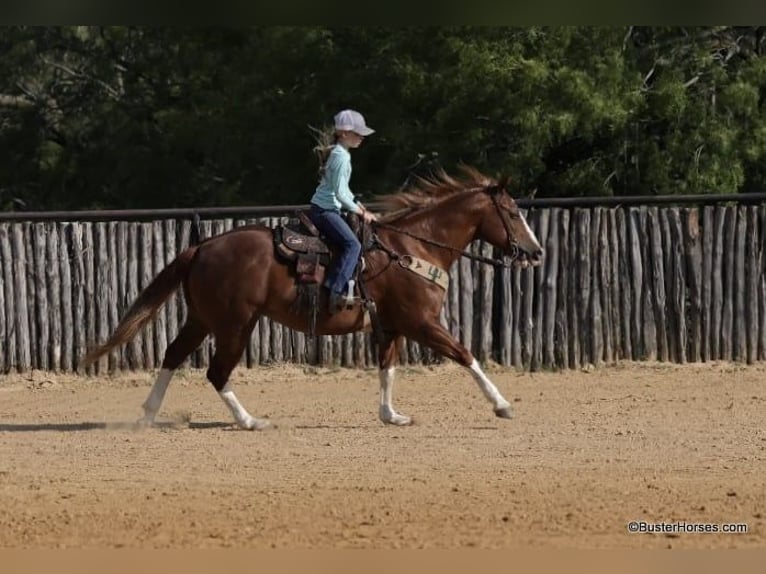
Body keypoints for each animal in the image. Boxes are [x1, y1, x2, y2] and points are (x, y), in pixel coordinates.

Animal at [81, 166, 544, 430]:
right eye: (513, 213)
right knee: (216, 371)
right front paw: (502, 405)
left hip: (202, 319)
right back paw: (250, 421)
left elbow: (387, 369)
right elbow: (466, 356)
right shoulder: (422, 323)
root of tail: (203, 246)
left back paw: (147, 414)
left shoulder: (393, 326)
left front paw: (391, 415)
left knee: (173, 356)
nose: (537, 252)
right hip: (235, 324)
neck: (414, 247)